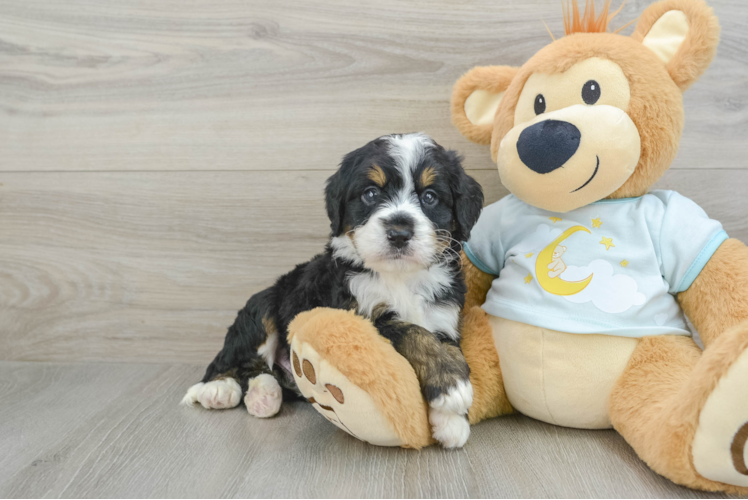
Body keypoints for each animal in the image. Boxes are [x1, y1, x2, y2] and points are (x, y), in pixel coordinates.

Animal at [184, 134, 482, 450]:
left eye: (429, 197)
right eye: (370, 194)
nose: (399, 232)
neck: (399, 276)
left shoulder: (443, 317)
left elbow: (449, 349)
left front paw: (452, 420)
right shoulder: (361, 315)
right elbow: (413, 332)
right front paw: (453, 390)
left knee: (257, 370)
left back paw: (263, 396)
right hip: (263, 305)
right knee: (232, 360)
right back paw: (218, 389)